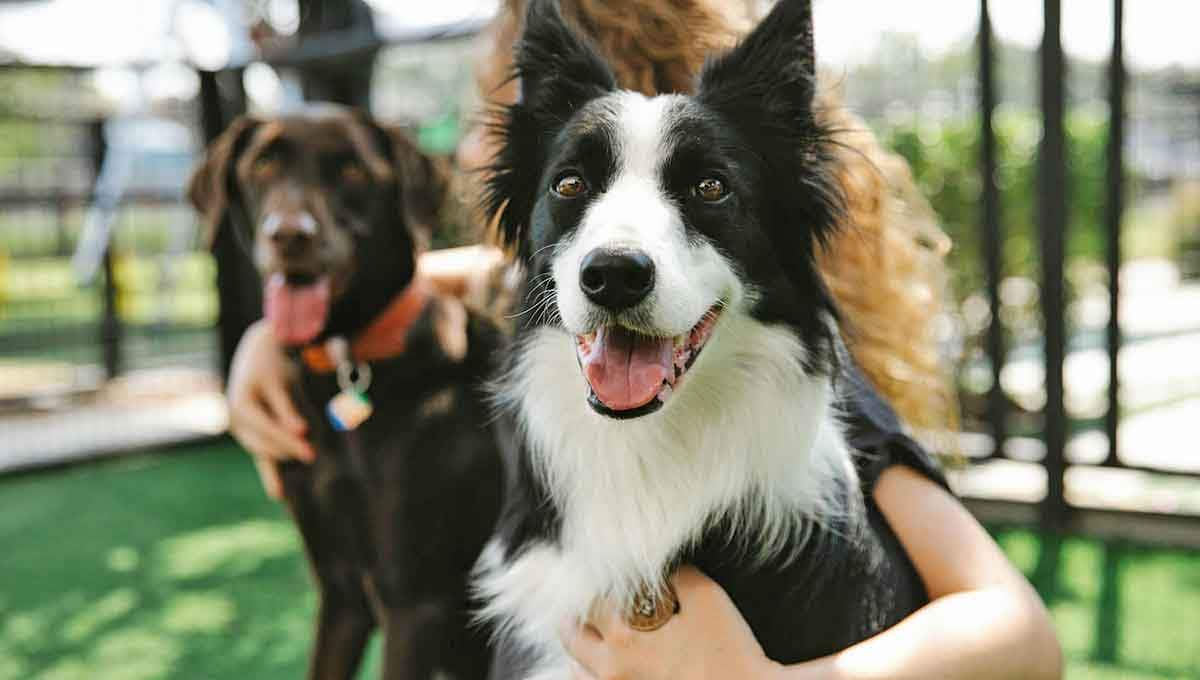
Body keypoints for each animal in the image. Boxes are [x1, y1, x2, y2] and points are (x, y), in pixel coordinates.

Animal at [192, 103, 501, 676]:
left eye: (354, 171)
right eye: (263, 164)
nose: (290, 236)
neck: (345, 362)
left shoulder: (413, 603)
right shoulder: (341, 595)